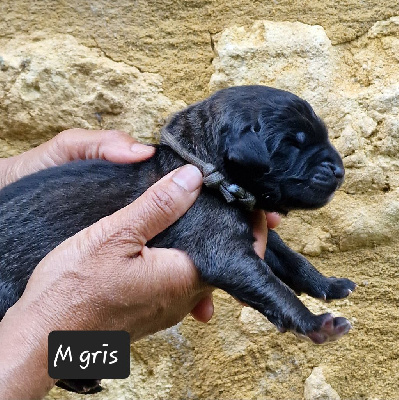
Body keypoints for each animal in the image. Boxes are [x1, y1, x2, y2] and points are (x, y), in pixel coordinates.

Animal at [0, 85, 356, 394]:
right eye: (292, 145)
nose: (339, 170)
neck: (203, 166)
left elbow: (291, 259)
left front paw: (328, 284)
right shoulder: (221, 247)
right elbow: (274, 287)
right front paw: (313, 323)